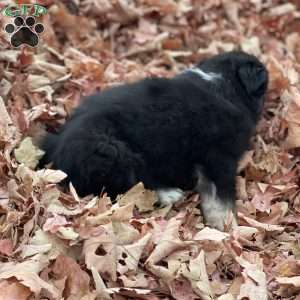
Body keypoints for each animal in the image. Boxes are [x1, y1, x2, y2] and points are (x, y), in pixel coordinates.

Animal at [41, 51, 268, 230]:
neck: (222, 84)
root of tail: (56, 149)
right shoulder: (219, 158)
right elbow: (221, 198)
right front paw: (228, 226)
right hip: (113, 151)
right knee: (120, 188)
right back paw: (168, 194)